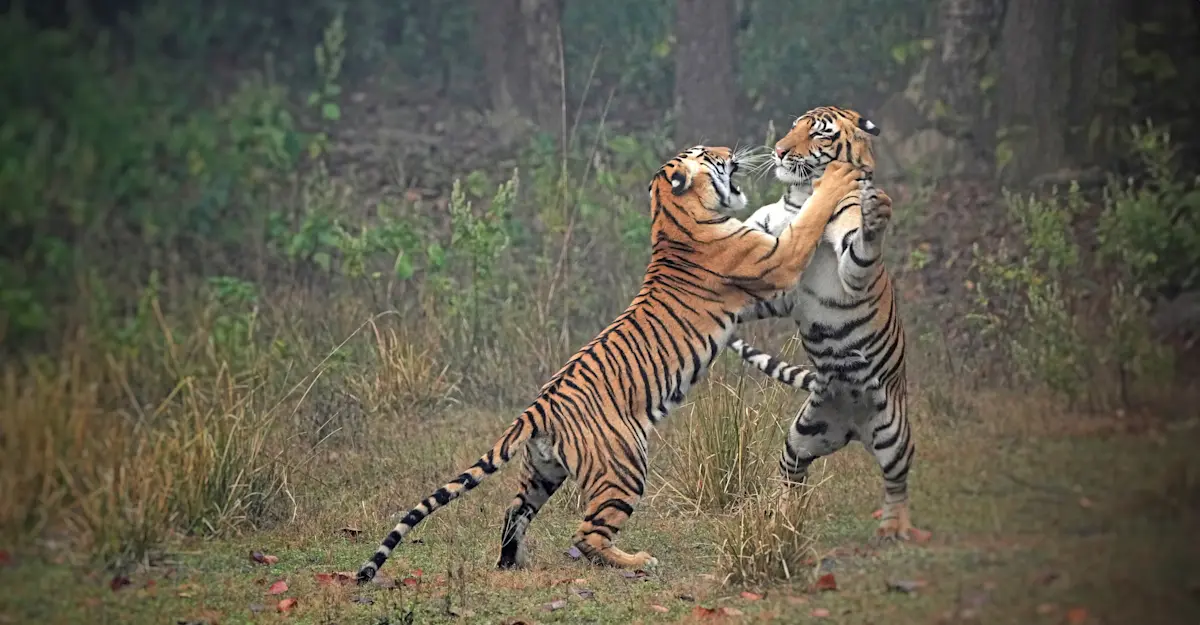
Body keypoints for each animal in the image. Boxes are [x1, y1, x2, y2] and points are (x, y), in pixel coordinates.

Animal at [355, 146, 870, 583]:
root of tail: (538, 408)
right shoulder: (775, 263)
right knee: (586, 534)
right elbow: (807, 224)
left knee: (513, 511)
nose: (730, 152)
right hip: (623, 465)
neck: (671, 216)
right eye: (708, 155)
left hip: (542, 471)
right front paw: (835, 180)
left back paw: (511, 563)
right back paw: (637, 561)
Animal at [725, 105, 924, 541]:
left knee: (896, 481)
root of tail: (853, 427)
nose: (780, 150)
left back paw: (894, 529)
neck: (799, 198)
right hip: (803, 434)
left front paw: (875, 216)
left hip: (894, 431)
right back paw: (780, 518)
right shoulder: (776, 271)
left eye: (819, 134)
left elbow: (860, 247)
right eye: (793, 127)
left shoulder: (845, 263)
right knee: (791, 474)